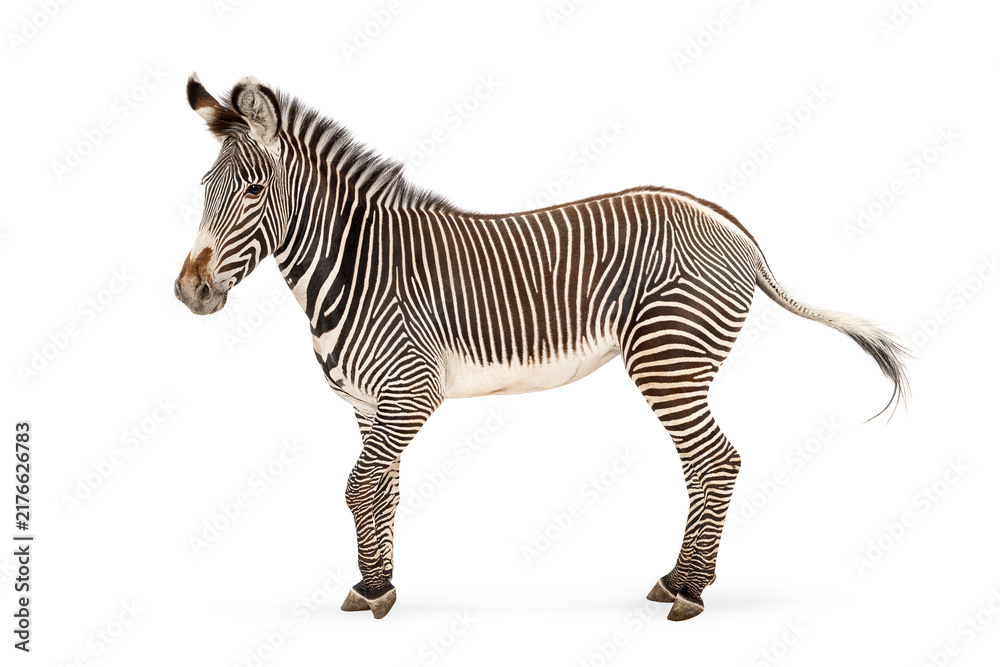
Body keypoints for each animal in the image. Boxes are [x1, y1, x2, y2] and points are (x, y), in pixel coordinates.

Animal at [175, 74, 910, 621]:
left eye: (253, 190)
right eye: (203, 191)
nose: (190, 291)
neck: (355, 267)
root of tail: (729, 225)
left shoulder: (411, 389)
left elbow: (359, 486)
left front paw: (375, 589)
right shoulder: (368, 401)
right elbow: (382, 491)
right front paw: (376, 582)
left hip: (668, 358)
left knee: (718, 460)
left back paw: (694, 590)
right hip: (677, 364)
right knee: (700, 464)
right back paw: (676, 578)